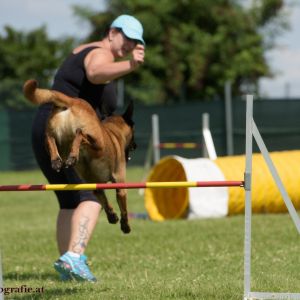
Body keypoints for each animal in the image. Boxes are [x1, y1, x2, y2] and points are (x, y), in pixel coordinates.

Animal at [23, 78, 136, 233]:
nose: (136, 146)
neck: (114, 131)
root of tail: (73, 101)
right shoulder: (120, 183)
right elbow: (123, 207)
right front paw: (125, 225)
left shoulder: (96, 187)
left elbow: (104, 201)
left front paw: (112, 215)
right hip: (97, 142)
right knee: (80, 134)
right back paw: (73, 157)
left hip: (55, 139)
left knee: (50, 138)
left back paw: (57, 160)